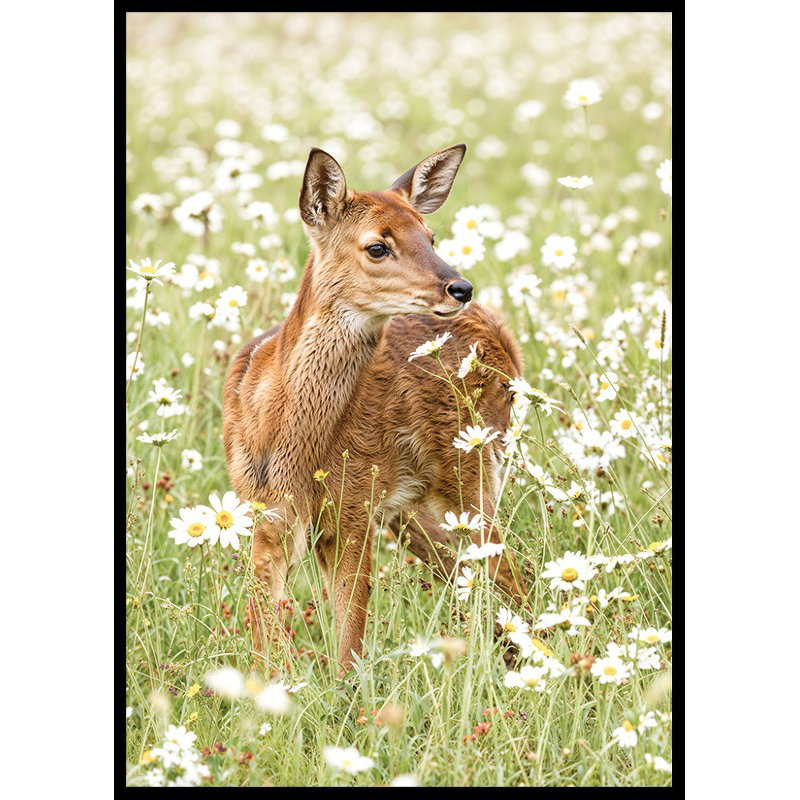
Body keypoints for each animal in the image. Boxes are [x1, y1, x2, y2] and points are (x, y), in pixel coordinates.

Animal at [223, 143, 528, 676]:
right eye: (377, 247)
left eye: (430, 235)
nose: (460, 287)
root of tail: (501, 335)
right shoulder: (265, 515)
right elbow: (266, 641)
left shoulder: (353, 510)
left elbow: (349, 645)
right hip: (414, 510)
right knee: (483, 577)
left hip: (471, 471)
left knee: (512, 571)